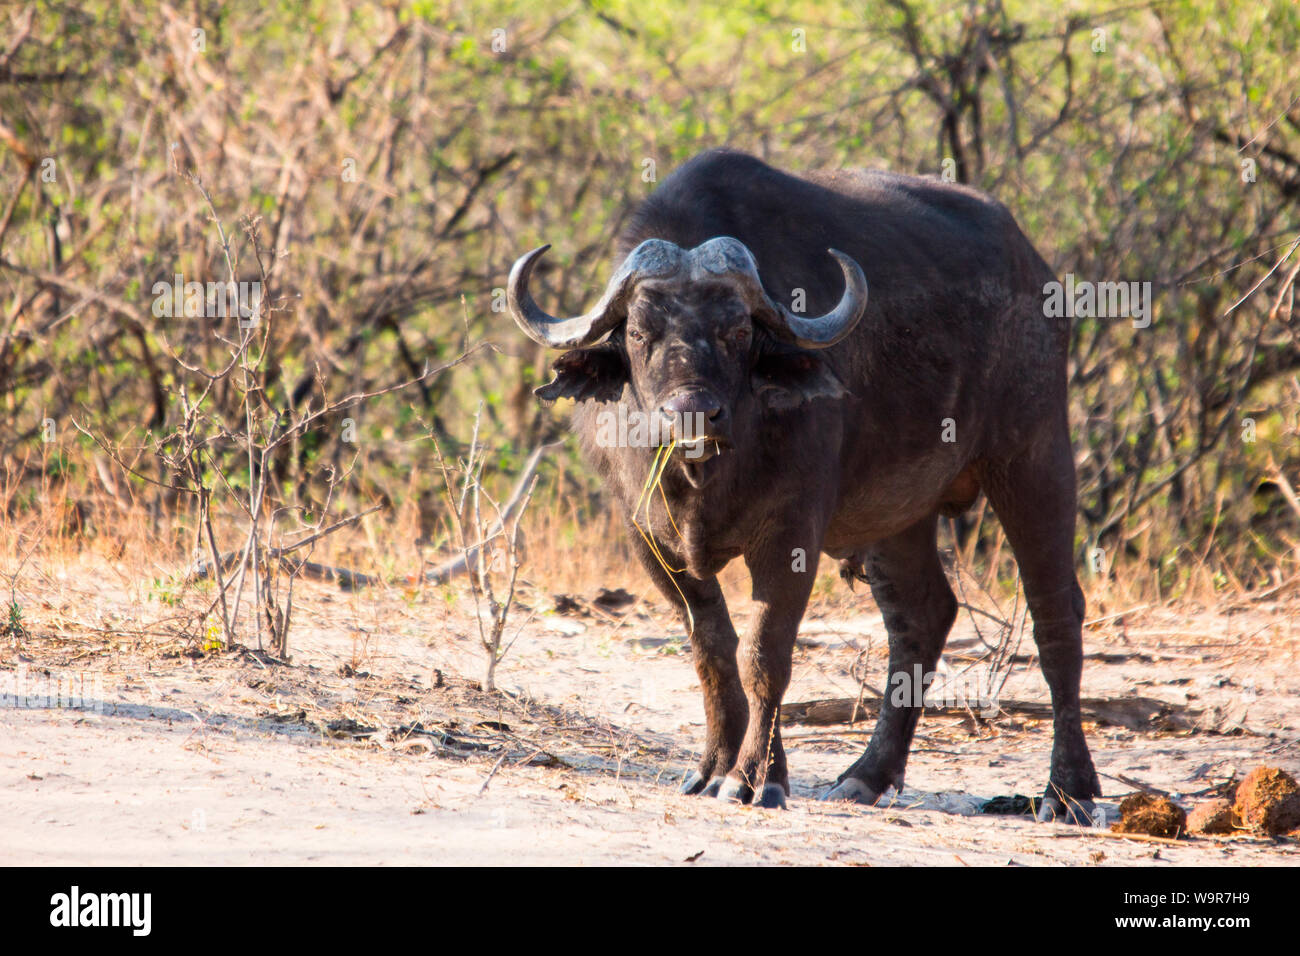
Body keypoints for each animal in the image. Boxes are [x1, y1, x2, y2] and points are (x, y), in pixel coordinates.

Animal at [506, 149, 1097, 822]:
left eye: (738, 331)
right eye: (638, 332)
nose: (692, 414)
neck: (705, 476)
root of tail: (1034, 270)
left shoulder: (791, 533)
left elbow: (765, 653)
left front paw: (753, 778)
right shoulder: (649, 539)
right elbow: (714, 650)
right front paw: (718, 766)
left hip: (1034, 455)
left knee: (1056, 614)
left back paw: (1069, 791)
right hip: (897, 515)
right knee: (923, 614)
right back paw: (867, 775)